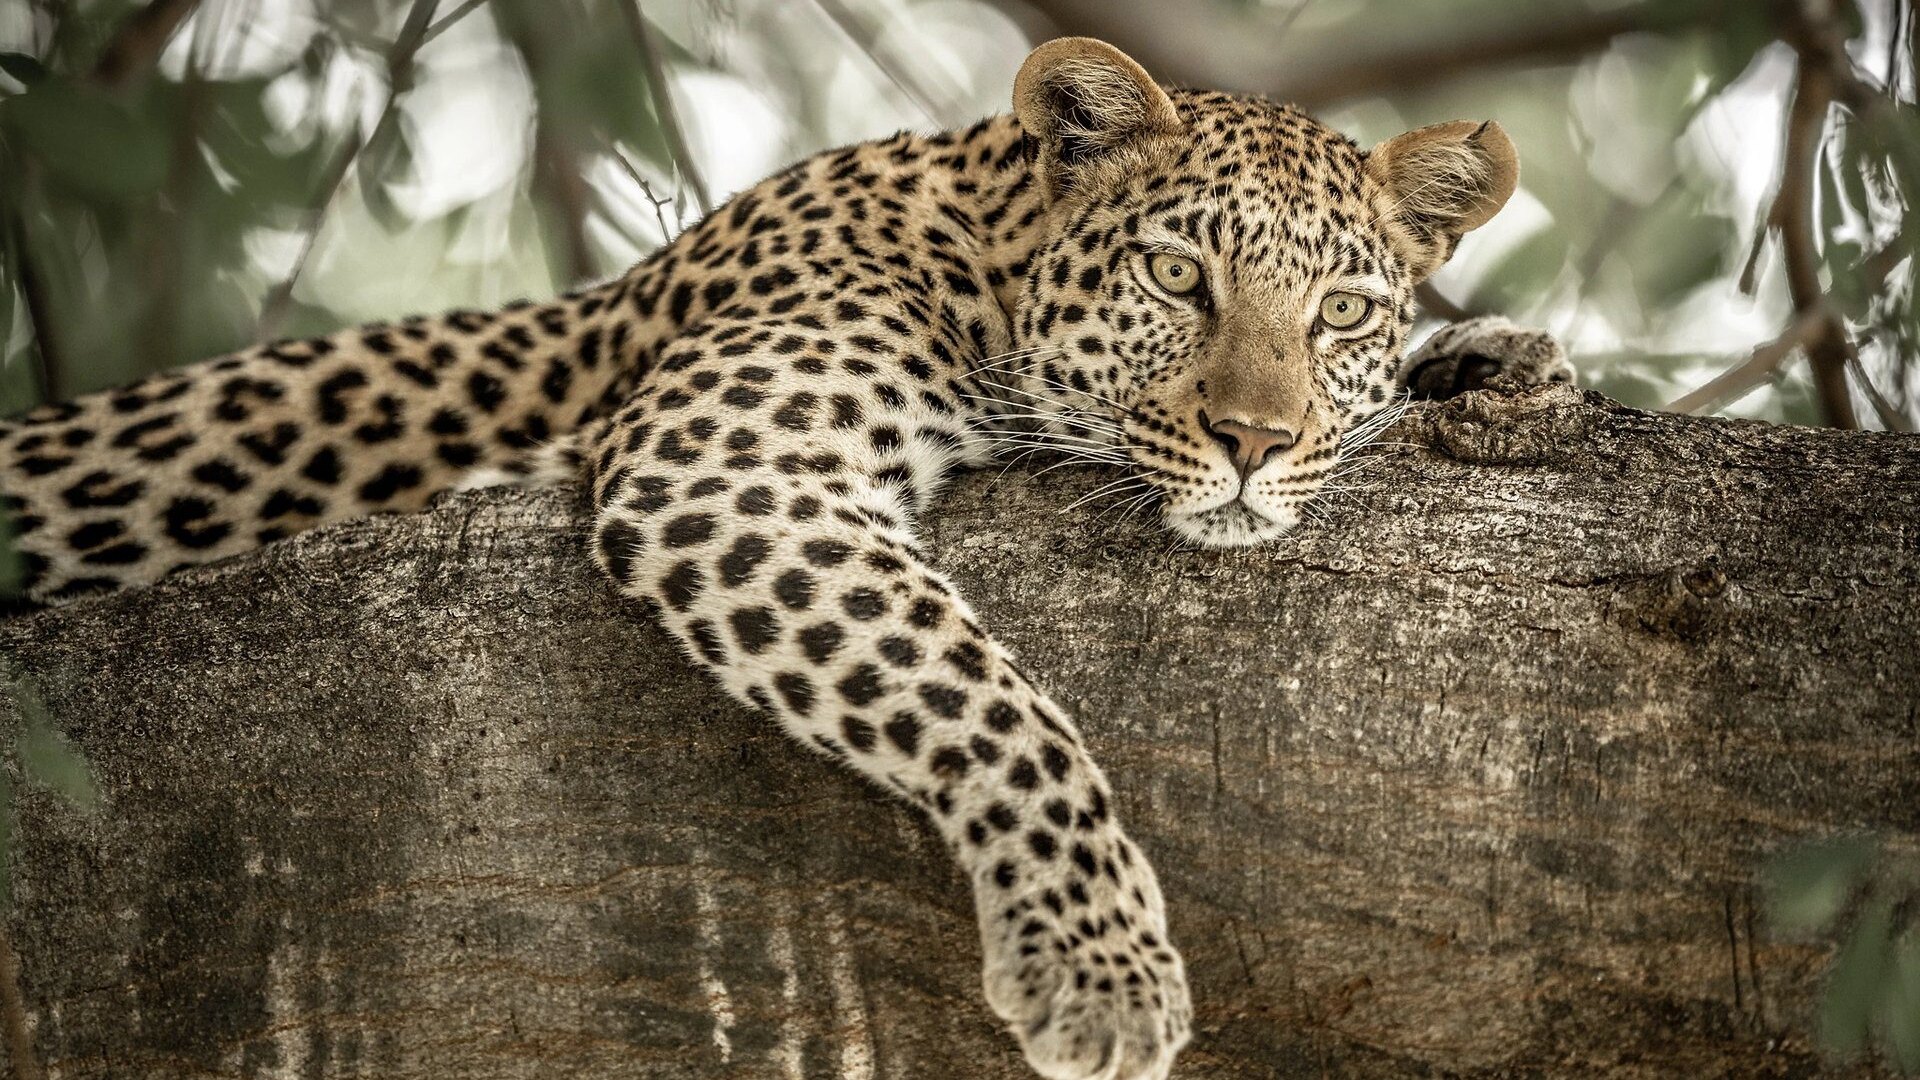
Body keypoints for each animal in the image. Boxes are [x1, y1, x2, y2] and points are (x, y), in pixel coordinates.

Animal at [0, 38, 1572, 1080]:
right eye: (1179, 277)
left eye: (1343, 312)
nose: (1254, 438)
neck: (978, 249)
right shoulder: (725, 464)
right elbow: (991, 703)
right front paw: (1099, 956)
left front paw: (1495, 362)